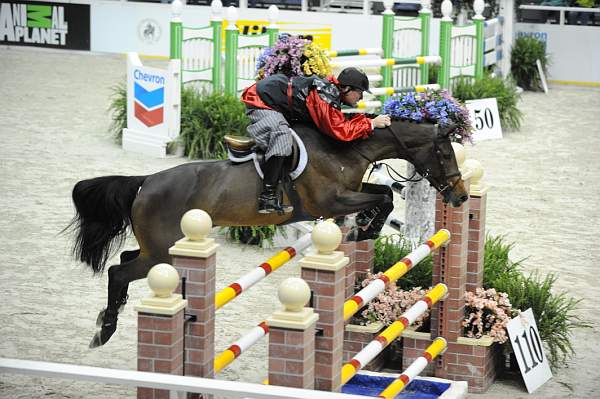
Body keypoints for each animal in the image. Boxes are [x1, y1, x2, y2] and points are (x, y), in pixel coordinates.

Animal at [67, 120, 468, 348]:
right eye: (445, 154)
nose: (461, 196)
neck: (346, 149)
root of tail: (146, 181)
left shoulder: (346, 195)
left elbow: (382, 193)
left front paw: (365, 227)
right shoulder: (332, 201)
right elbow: (383, 196)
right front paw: (365, 227)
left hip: (158, 248)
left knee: (124, 260)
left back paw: (109, 318)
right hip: (162, 250)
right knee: (119, 270)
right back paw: (105, 330)